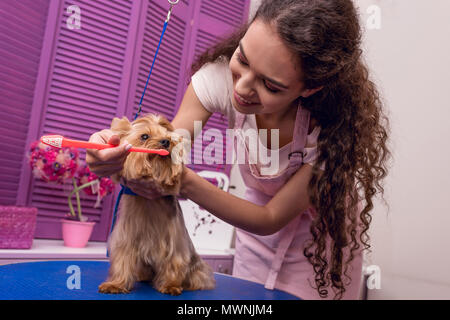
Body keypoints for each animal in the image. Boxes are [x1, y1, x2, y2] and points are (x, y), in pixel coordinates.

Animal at [99, 113, 215, 296]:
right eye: (144, 136)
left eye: (169, 137)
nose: (166, 142)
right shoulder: (126, 238)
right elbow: (123, 261)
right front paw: (115, 284)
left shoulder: (175, 242)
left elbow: (174, 261)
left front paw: (170, 285)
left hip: (196, 268)